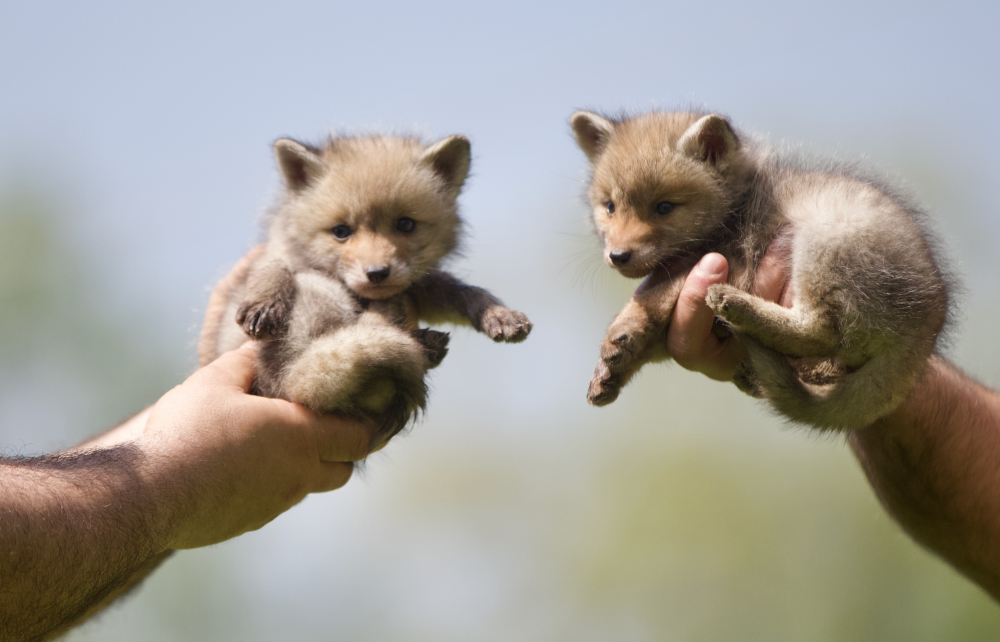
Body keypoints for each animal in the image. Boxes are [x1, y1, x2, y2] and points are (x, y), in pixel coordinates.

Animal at [201, 132, 532, 448]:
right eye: (340, 231)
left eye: (405, 224)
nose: (377, 273)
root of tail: (284, 386)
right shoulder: (281, 257)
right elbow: (272, 268)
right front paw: (265, 302)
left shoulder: (417, 284)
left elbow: (462, 292)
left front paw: (498, 315)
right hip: (314, 297)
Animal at [572, 110, 952, 430]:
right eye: (609, 207)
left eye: (664, 207)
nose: (618, 255)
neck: (736, 208)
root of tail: (930, 319)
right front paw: (611, 370)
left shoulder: (726, 258)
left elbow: (654, 296)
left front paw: (623, 332)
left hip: (821, 240)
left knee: (819, 329)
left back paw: (739, 307)